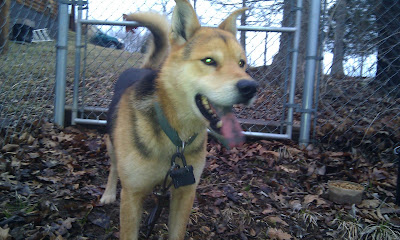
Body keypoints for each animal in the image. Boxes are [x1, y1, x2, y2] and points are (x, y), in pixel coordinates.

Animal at [98, 0, 258, 239]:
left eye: (241, 63)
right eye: (209, 61)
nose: (251, 88)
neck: (175, 133)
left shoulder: (185, 193)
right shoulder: (132, 195)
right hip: (111, 142)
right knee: (114, 166)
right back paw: (108, 193)